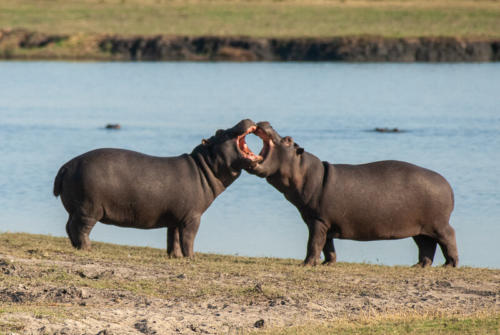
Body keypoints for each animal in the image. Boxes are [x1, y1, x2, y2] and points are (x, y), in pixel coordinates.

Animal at [53, 119, 262, 258]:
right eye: (222, 133)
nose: (246, 119)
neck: (205, 166)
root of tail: (66, 166)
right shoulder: (192, 217)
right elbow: (188, 238)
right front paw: (191, 258)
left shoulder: (176, 218)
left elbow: (173, 238)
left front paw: (175, 257)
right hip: (89, 209)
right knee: (79, 228)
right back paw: (87, 249)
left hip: (78, 209)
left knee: (69, 227)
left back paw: (77, 247)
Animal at [244, 122, 458, 268]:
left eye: (288, 139)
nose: (267, 123)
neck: (302, 170)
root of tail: (448, 185)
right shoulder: (322, 221)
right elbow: (327, 246)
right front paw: (327, 263)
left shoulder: (318, 221)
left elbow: (313, 243)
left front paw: (306, 264)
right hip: (420, 228)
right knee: (427, 246)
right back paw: (419, 266)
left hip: (438, 224)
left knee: (448, 237)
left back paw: (449, 264)